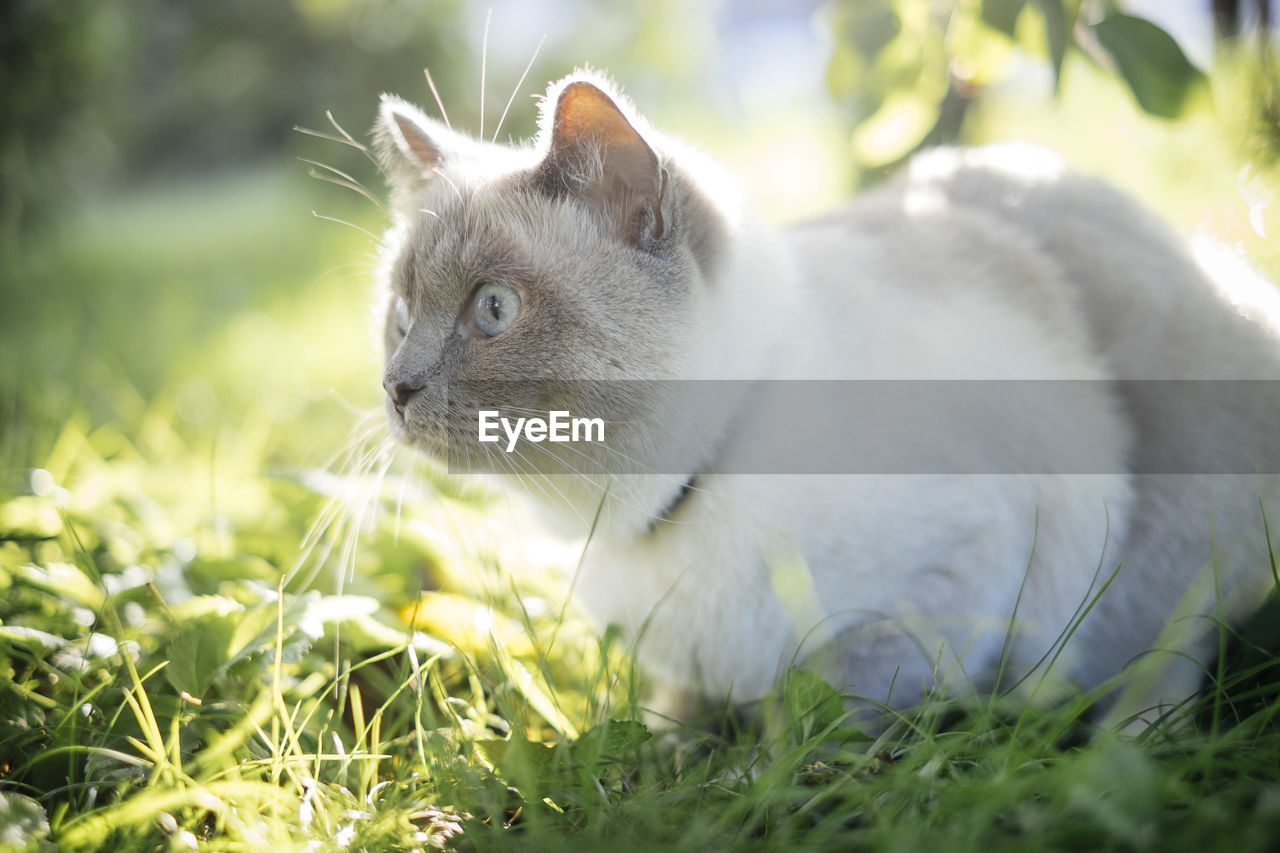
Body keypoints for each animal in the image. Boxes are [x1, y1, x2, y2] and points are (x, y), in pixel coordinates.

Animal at [368, 69, 1280, 722]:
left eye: (494, 309)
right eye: (401, 312)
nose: (395, 387)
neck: (656, 516)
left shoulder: (951, 579)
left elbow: (817, 717)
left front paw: (745, 780)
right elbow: (677, 714)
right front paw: (668, 748)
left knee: (1168, 662)